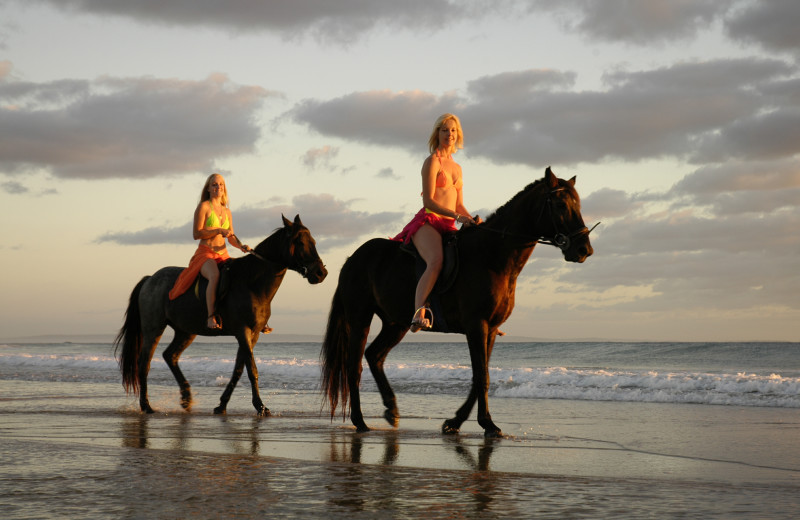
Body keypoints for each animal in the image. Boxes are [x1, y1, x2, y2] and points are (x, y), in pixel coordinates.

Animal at [114, 214, 326, 414]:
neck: (252, 282)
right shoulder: (243, 331)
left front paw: (222, 404)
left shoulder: (252, 335)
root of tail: (150, 279)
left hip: (186, 331)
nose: (321, 273)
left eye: (313, 241)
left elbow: (238, 370)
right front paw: (260, 406)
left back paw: (186, 397)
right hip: (153, 329)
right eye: (300, 242)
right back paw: (146, 405)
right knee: (144, 363)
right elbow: (252, 369)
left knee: (170, 355)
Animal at [324, 169, 592, 436]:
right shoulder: (476, 325)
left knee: (374, 355)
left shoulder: (490, 329)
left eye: (578, 205)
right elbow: (481, 376)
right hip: (360, 318)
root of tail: (352, 258)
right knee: (354, 367)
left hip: (395, 323)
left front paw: (455, 421)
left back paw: (391, 408)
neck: (492, 255)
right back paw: (360, 421)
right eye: (561, 205)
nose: (584, 250)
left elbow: (479, 377)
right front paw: (488, 423)